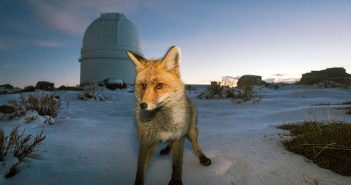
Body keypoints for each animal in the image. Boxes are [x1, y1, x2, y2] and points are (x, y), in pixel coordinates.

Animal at [127, 46, 212, 185]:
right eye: (143, 86)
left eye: (159, 86)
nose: (143, 105)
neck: (161, 123)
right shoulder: (145, 141)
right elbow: (140, 171)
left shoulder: (178, 137)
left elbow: (177, 164)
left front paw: (176, 181)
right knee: (170, 144)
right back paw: (167, 148)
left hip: (191, 130)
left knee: (195, 145)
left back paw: (203, 157)